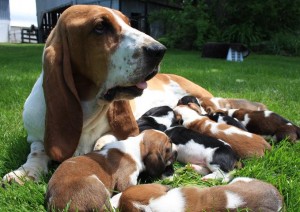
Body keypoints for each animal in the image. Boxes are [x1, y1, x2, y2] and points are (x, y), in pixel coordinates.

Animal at [44, 130, 176, 211]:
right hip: (96, 184)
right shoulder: (127, 180)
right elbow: (130, 188)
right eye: (168, 148)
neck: (137, 145)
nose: (177, 151)